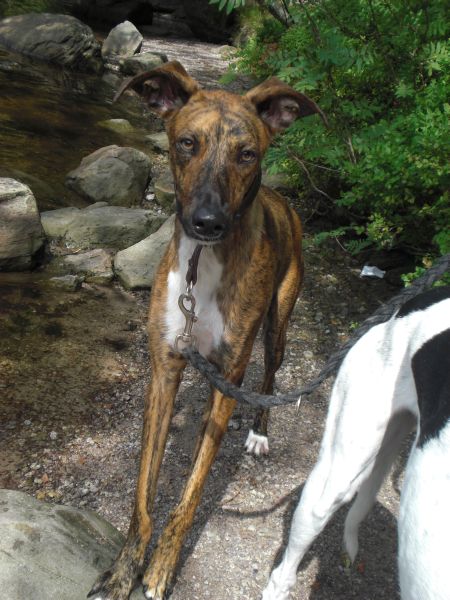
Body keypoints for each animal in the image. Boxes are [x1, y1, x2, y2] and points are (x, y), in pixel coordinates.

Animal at [89, 61, 324, 600]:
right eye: (186, 143)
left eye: (247, 154)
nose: (207, 222)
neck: (203, 265)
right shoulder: (163, 370)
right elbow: (143, 497)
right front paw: (126, 567)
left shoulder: (228, 381)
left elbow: (190, 495)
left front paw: (160, 569)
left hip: (278, 325)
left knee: (270, 376)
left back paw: (259, 434)